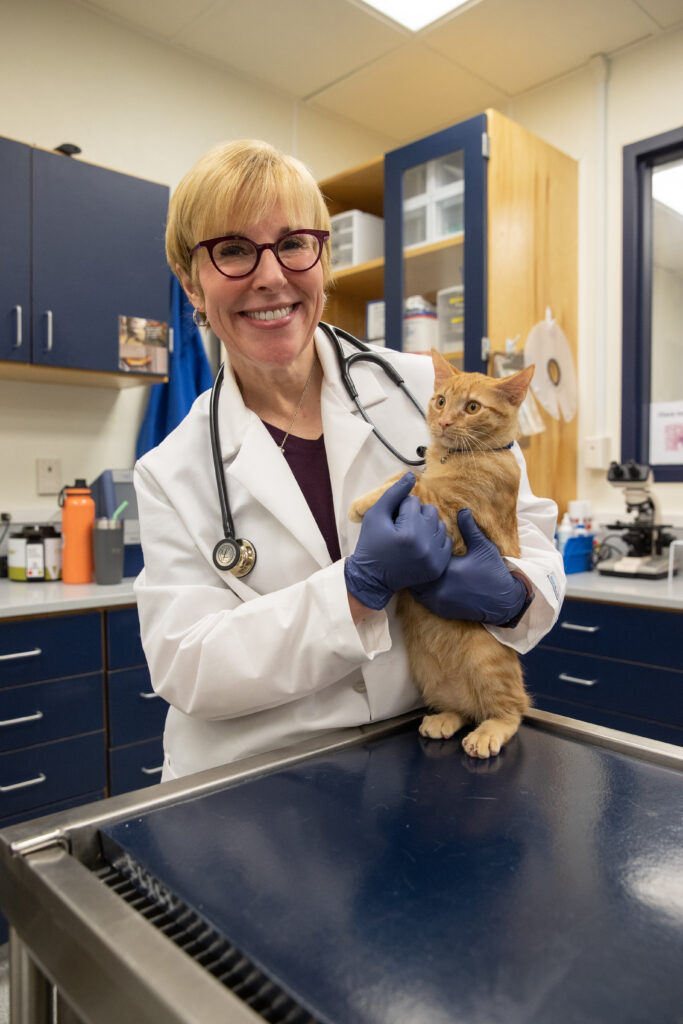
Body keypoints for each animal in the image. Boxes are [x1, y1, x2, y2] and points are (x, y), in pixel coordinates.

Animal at [350, 348, 536, 757]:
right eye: (439, 401)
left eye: (472, 407)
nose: (445, 421)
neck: (456, 457)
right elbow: (406, 478)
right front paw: (372, 496)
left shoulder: (454, 511)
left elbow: (419, 487)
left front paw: (361, 504)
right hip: (430, 677)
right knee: (463, 709)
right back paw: (445, 718)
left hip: (490, 666)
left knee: (512, 710)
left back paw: (488, 732)